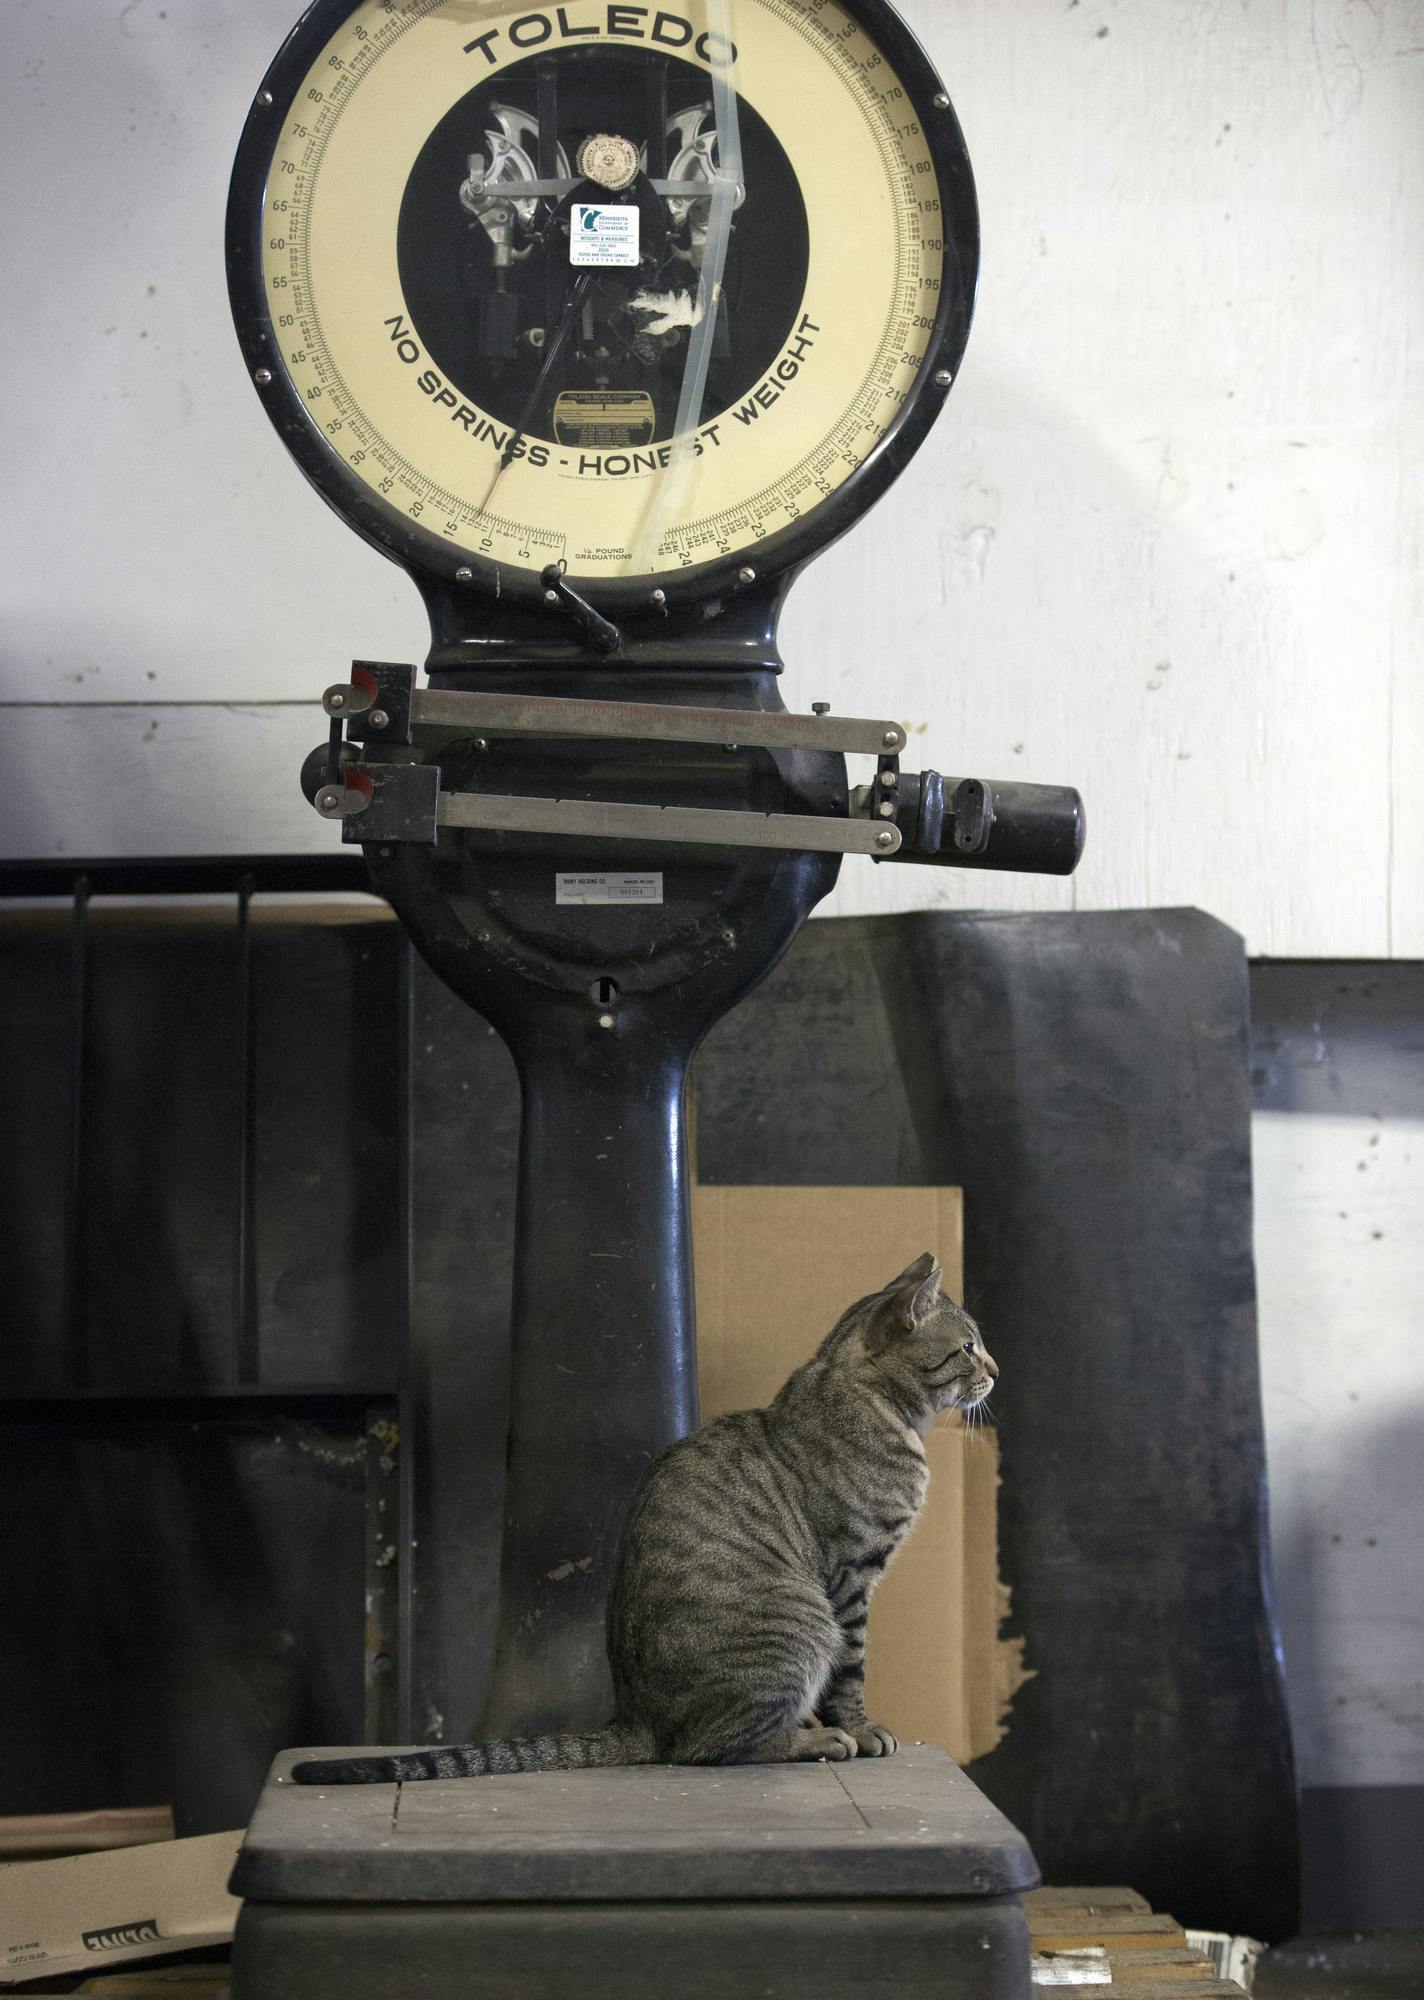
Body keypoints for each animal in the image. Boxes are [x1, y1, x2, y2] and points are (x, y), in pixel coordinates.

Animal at [294, 1256, 996, 1792]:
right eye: (967, 1347)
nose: (995, 1370)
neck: (877, 1403)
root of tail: (633, 1716)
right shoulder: (852, 1573)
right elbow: (852, 1668)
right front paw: (859, 1727)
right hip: (800, 1626)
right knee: (709, 1747)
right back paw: (813, 1740)